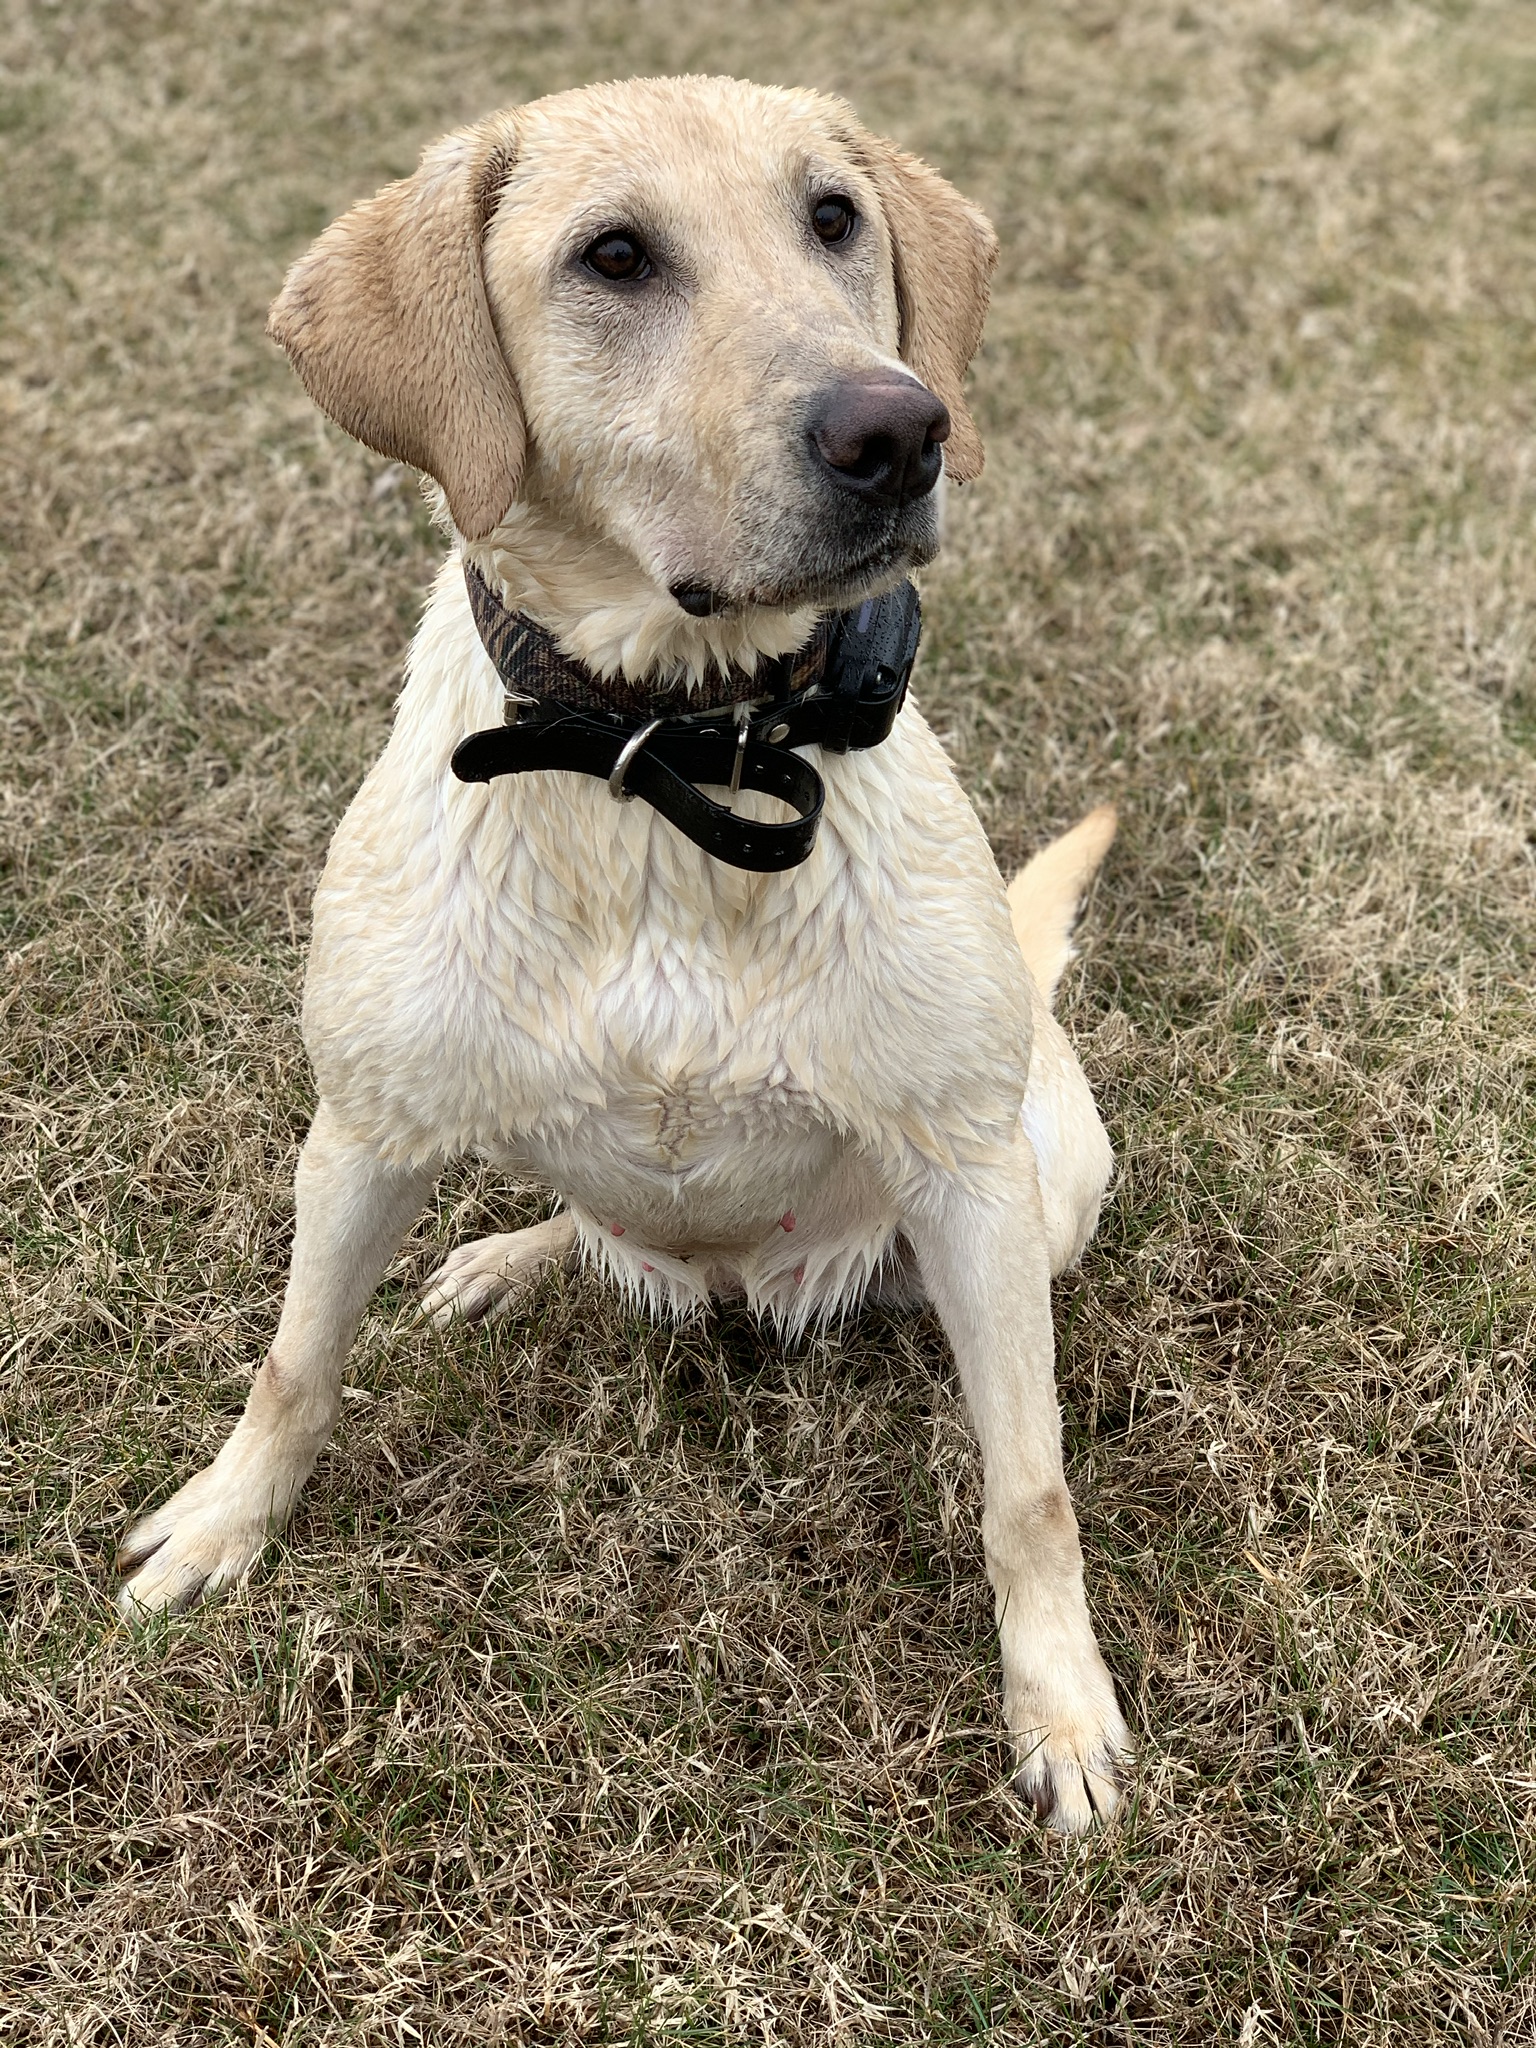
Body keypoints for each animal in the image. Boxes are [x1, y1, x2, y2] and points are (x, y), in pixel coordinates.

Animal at [120, 75, 1130, 1843]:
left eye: (833, 220)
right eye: (612, 257)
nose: (900, 429)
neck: (672, 761)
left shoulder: (965, 1169)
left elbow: (1030, 1488)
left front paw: (1058, 1708)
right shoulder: (359, 1130)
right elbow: (295, 1366)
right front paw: (227, 1521)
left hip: (1042, 1176)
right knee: (588, 1221)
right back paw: (508, 1258)